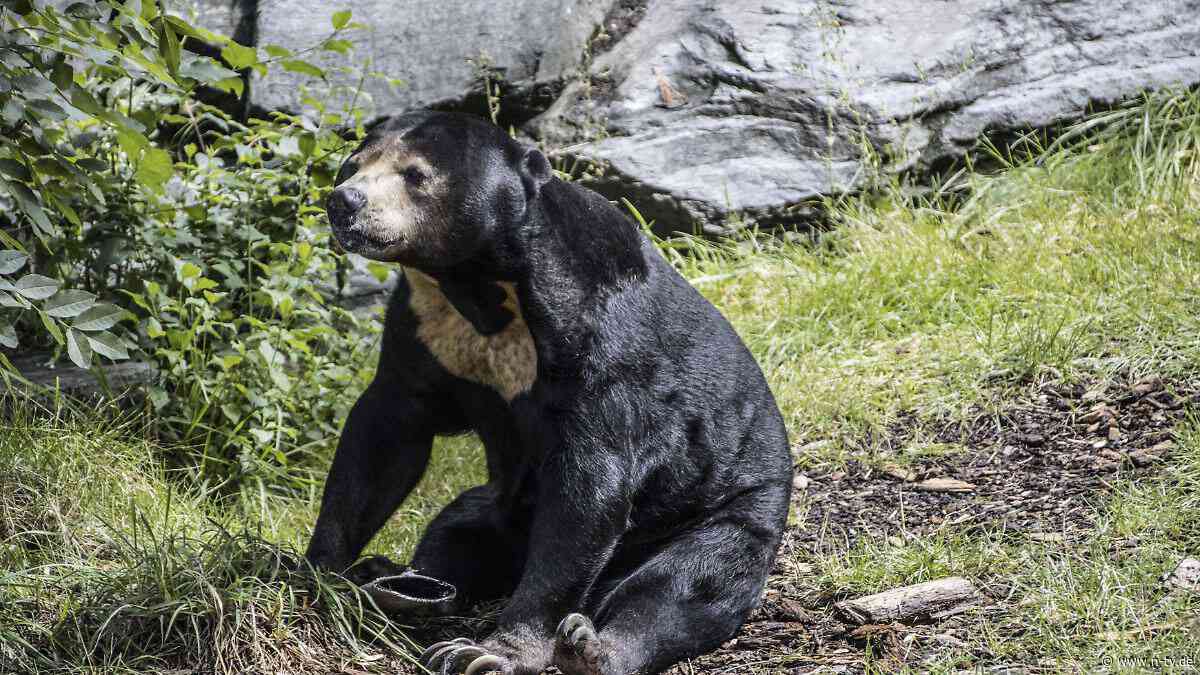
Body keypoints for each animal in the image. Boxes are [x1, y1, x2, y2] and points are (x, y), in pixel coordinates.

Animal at [307, 110, 793, 675]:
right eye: (352, 165)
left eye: (415, 175)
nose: (344, 202)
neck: (476, 283)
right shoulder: (421, 328)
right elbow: (384, 437)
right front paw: (317, 572)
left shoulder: (604, 343)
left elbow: (590, 486)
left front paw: (488, 654)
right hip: (493, 505)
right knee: (453, 533)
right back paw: (404, 585)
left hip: (726, 511)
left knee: (685, 582)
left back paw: (590, 647)